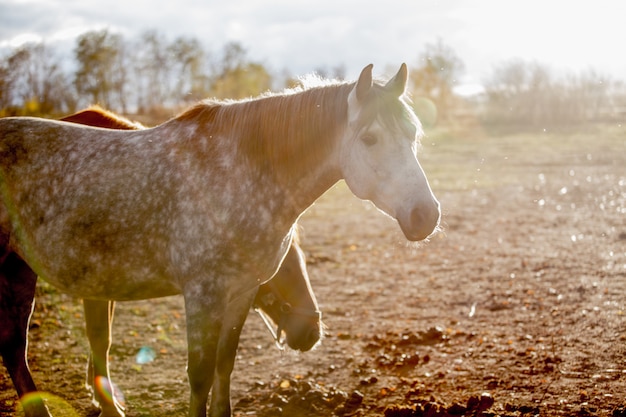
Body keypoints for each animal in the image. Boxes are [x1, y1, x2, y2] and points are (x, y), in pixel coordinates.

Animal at [0, 64, 438, 416]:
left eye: (414, 134)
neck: (238, 173)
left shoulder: (241, 292)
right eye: (370, 138)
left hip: (18, 269)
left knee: (13, 350)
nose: (427, 216)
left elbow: (224, 367)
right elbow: (200, 375)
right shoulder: (203, 294)